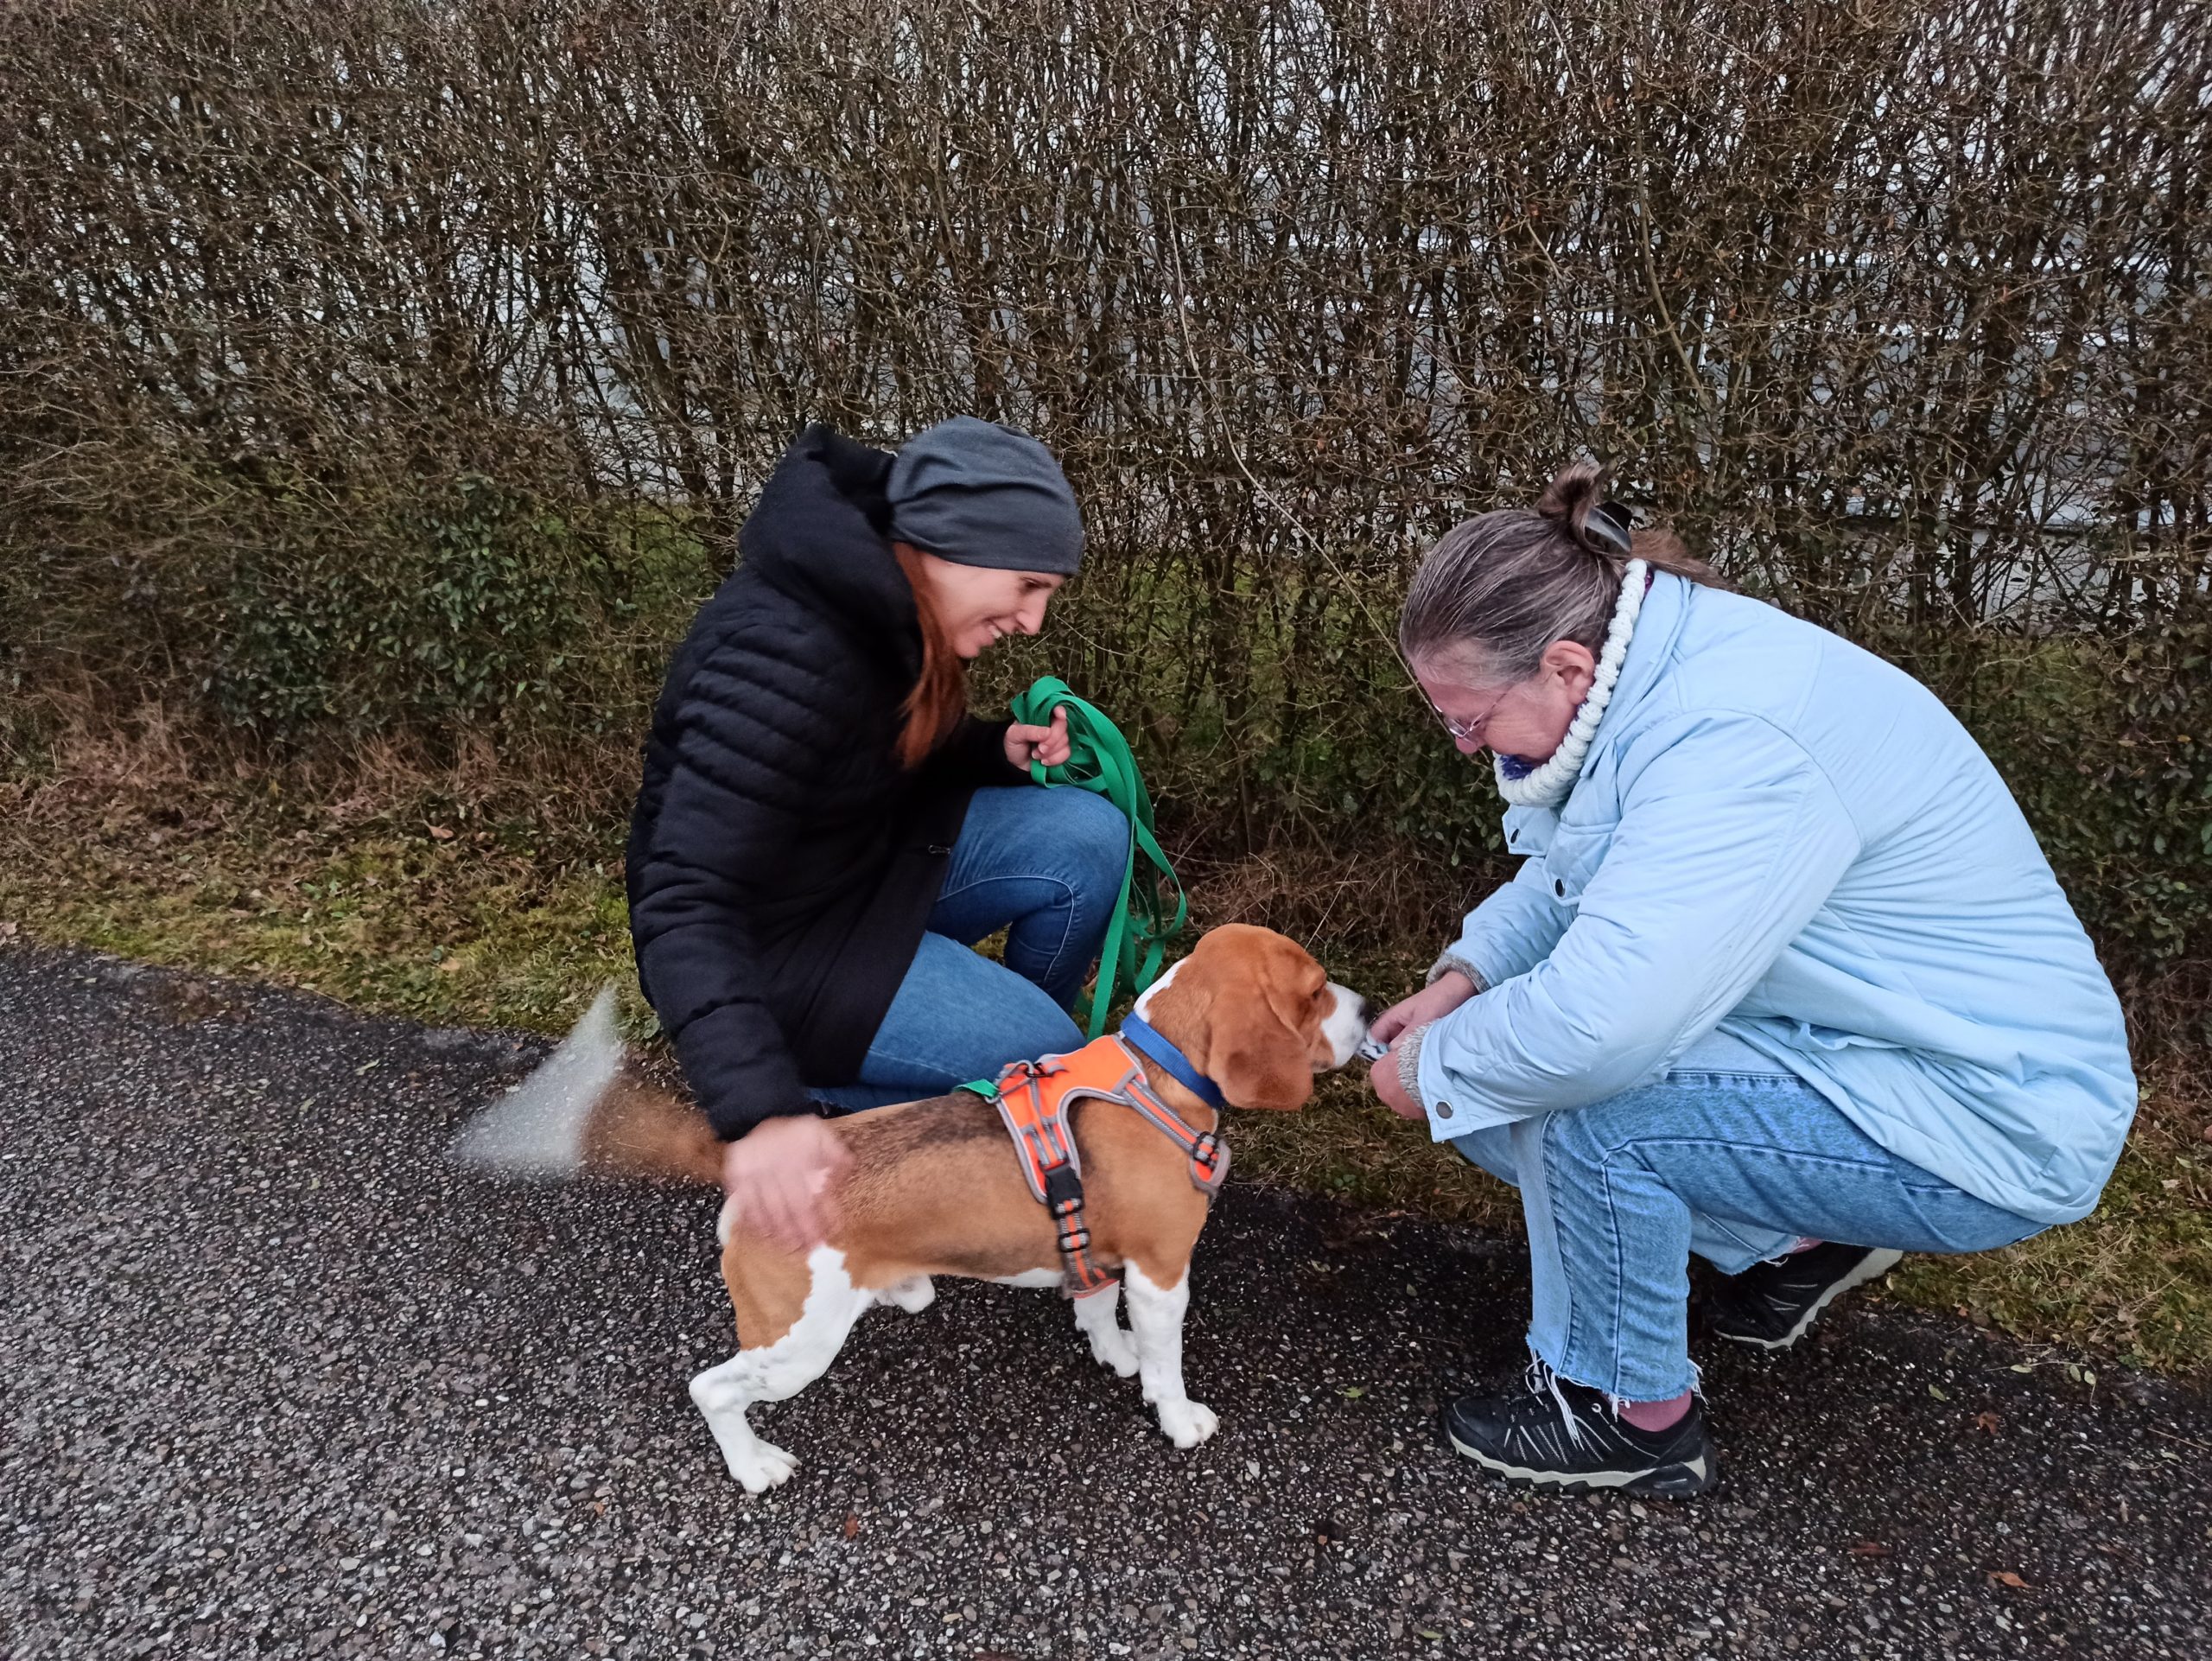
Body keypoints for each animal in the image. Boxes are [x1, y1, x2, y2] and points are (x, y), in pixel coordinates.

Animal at [451, 923, 1370, 1491]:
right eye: (1314, 993)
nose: (1368, 1010)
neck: (1158, 1071)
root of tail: (749, 1166)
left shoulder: (1098, 1254)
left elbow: (1094, 1305)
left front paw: (1112, 1352)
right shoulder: (1161, 1275)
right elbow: (1166, 1361)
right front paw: (1176, 1416)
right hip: (798, 1344)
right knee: (712, 1388)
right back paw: (753, 1465)